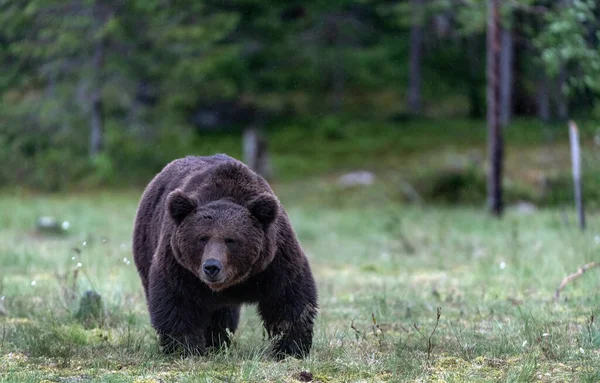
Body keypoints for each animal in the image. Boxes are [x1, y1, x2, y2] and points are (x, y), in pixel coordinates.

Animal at [132, 154, 318, 358]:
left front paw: (290, 348)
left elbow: (288, 297)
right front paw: (185, 348)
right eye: (202, 238)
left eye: (231, 240)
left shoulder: (274, 259)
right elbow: (178, 301)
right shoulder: (180, 265)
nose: (211, 267)